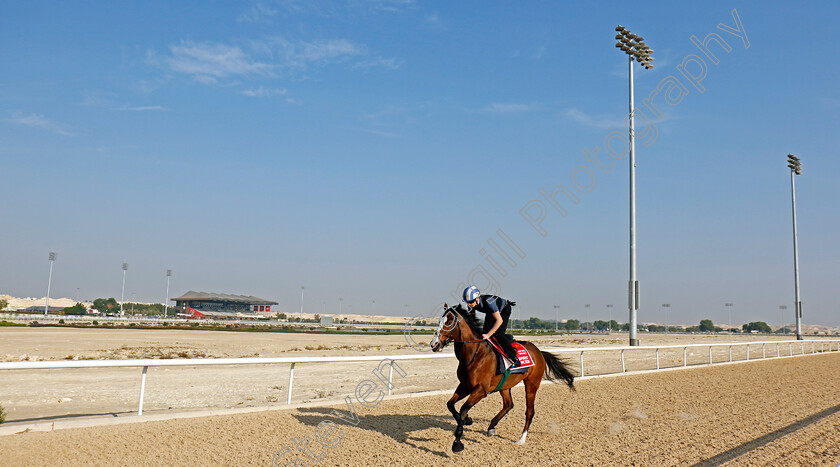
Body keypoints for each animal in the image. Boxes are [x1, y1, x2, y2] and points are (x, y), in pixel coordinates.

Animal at [430, 304, 576, 454]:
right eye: (439, 321)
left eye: (448, 322)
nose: (434, 344)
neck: (475, 354)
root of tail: (539, 352)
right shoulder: (465, 385)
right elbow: (450, 404)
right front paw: (467, 420)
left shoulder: (481, 389)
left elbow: (464, 409)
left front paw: (457, 442)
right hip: (505, 385)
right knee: (508, 404)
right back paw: (491, 427)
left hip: (532, 384)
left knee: (529, 411)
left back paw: (521, 439)